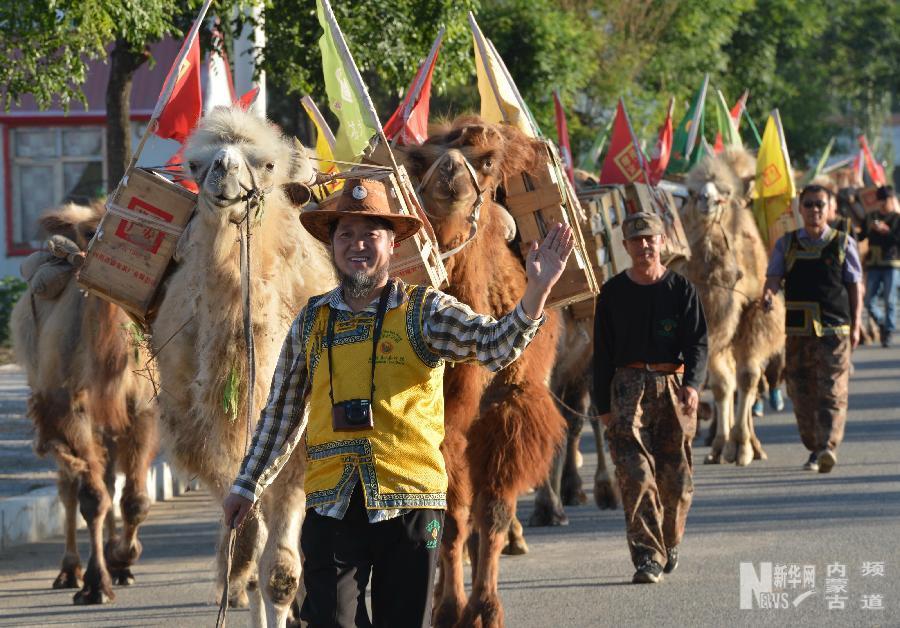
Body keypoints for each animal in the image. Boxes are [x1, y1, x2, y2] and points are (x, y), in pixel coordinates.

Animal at [11, 201, 158, 604]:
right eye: (88, 233)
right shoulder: (67, 410)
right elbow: (91, 498)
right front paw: (95, 583)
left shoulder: (140, 410)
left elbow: (134, 499)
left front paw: (122, 558)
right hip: (50, 405)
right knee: (69, 487)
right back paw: (69, 570)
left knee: (108, 478)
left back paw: (116, 563)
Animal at [149, 105, 336, 624]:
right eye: (195, 164)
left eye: (266, 164)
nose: (223, 171)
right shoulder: (208, 445)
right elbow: (246, 549)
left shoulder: (301, 446)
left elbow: (282, 572)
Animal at [402, 116, 568, 628]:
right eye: (419, 159)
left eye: (489, 161)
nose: (450, 171)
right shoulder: (445, 422)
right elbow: (452, 518)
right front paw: (450, 609)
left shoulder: (506, 408)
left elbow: (491, 511)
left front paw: (486, 609)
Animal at [684, 148, 784, 466]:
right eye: (691, 192)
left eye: (725, 192)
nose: (706, 199)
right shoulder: (709, 323)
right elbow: (722, 385)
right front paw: (720, 446)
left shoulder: (756, 312)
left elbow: (747, 378)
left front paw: (741, 447)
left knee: (748, 382)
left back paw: (755, 445)